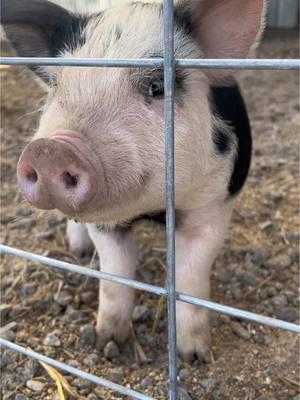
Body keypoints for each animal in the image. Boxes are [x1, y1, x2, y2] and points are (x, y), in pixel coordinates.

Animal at [1, 0, 266, 362]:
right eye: (56, 85)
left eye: (157, 87)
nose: (50, 150)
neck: (154, 209)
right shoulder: (106, 224)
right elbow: (115, 278)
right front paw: (109, 346)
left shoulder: (215, 204)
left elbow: (191, 278)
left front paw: (195, 356)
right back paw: (78, 251)